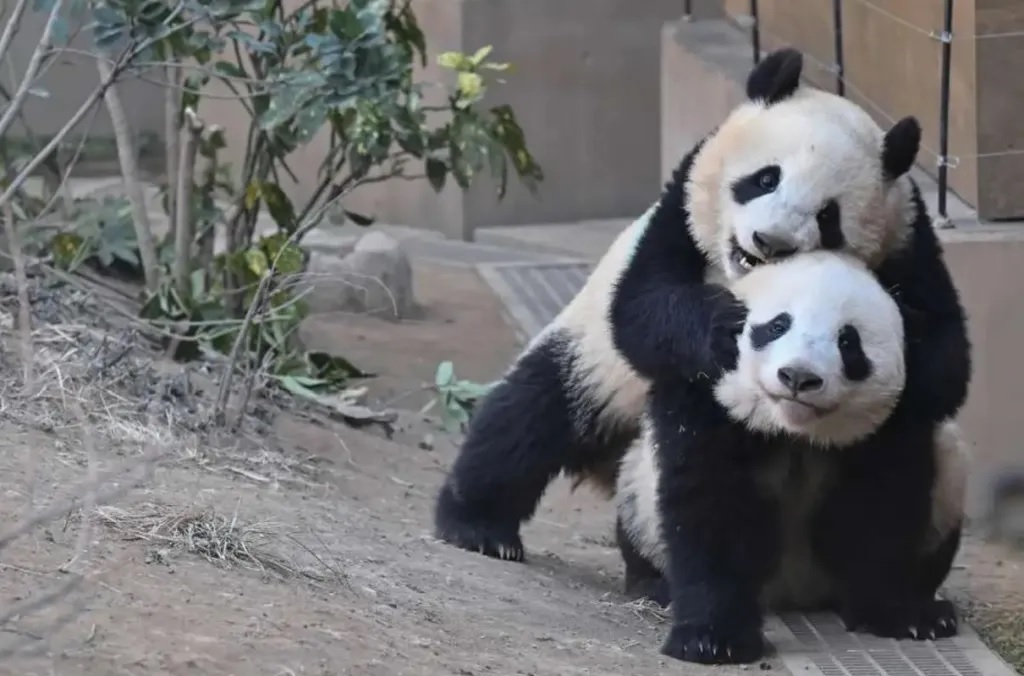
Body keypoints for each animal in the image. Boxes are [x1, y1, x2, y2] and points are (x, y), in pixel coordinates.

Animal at [433, 47, 971, 566]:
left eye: (828, 216)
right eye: (765, 178)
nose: (769, 241)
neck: (738, 275)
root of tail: (612, 464)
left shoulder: (908, 244)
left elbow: (946, 360)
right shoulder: (678, 213)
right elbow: (642, 309)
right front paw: (722, 331)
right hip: (591, 362)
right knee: (527, 418)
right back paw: (477, 524)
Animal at [615, 251, 969, 665]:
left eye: (848, 341)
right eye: (777, 326)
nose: (798, 377)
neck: (795, 431)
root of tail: (794, 594)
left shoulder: (897, 421)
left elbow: (883, 508)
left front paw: (904, 616)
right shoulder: (708, 402)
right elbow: (712, 508)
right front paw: (711, 638)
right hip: (638, 492)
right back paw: (654, 585)